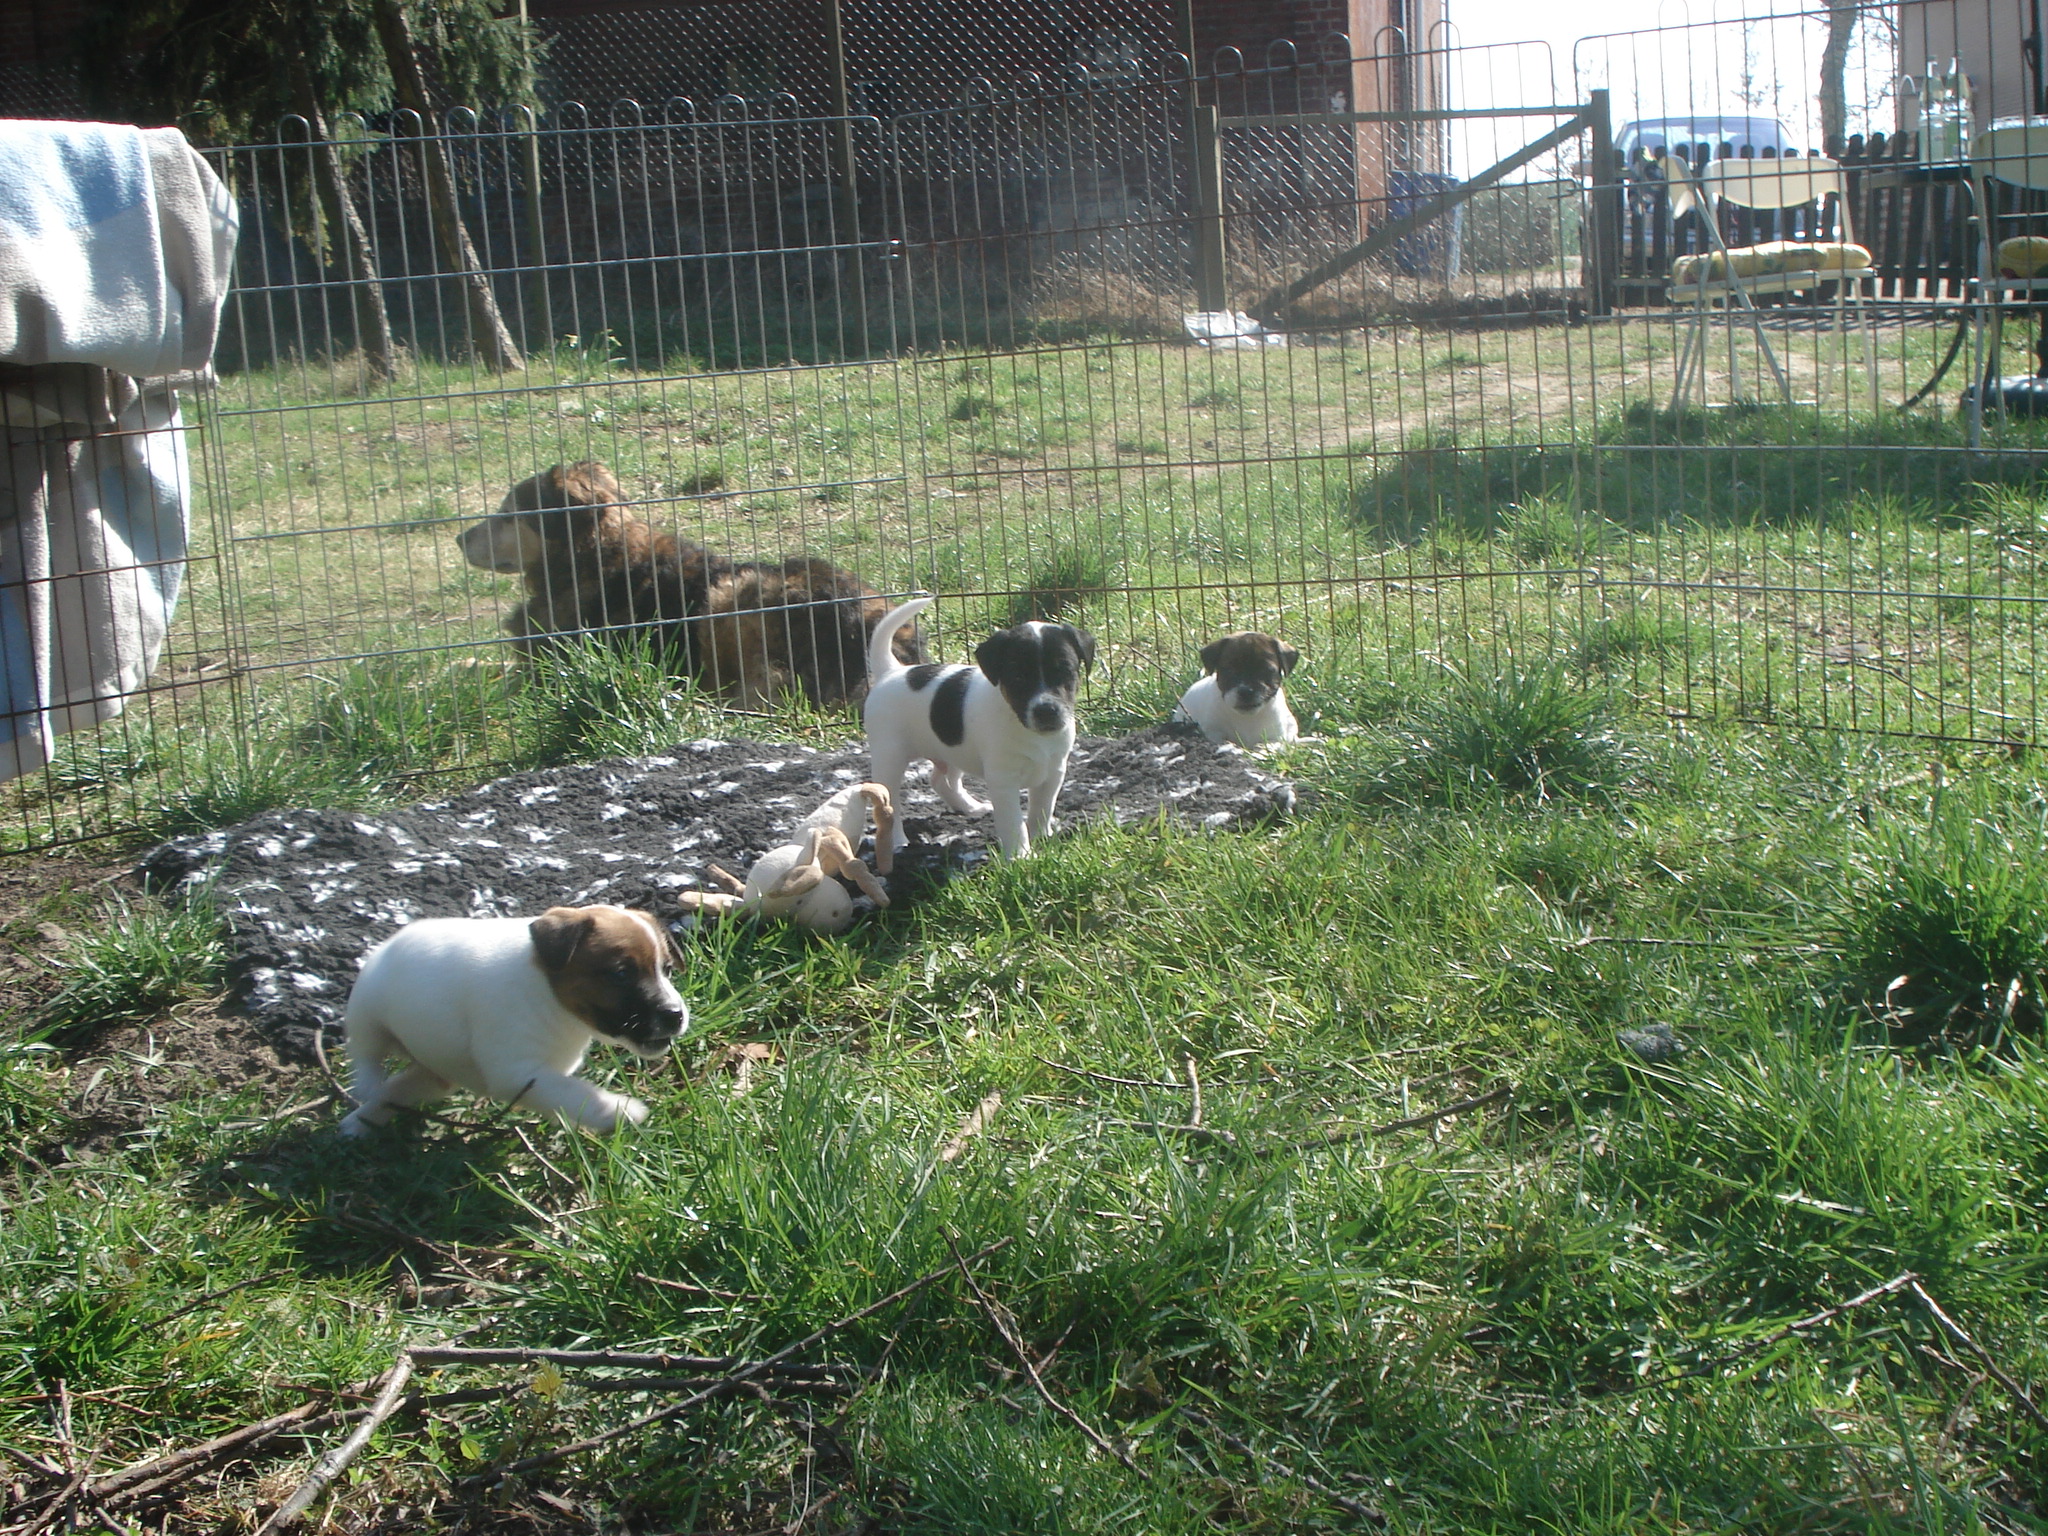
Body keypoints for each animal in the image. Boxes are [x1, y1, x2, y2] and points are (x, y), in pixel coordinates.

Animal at [337, 905, 687, 1136]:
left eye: (667, 969)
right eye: (621, 974)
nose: (676, 1015)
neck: (549, 995)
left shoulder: (545, 1075)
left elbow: (565, 1094)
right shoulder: (518, 1074)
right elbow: (576, 1093)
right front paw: (618, 1111)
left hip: (435, 1074)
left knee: (397, 1089)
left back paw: (361, 1121)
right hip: (367, 1013)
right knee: (366, 1053)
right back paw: (366, 1086)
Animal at [863, 596, 1094, 859]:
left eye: (1065, 672)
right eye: (1018, 678)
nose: (1046, 711)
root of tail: (891, 670)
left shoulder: (1053, 771)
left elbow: (1042, 808)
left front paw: (1042, 838)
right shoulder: (1003, 780)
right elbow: (1013, 822)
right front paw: (1020, 856)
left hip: (952, 749)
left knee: (941, 780)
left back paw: (970, 807)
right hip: (890, 757)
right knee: (890, 803)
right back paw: (897, 842)